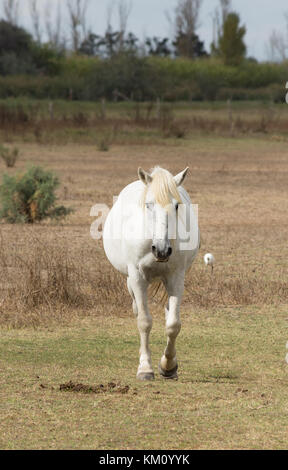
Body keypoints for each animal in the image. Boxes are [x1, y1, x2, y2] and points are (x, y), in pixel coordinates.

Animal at [103, 167, 200, 380]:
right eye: (149, 205)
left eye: (176, 206)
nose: (161, 251)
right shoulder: (137, 278)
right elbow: (144, 322)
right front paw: (145, 368)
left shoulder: (176, 277)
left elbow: (173, 325)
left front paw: (168, 366)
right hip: (130, 281)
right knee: (138, 310)